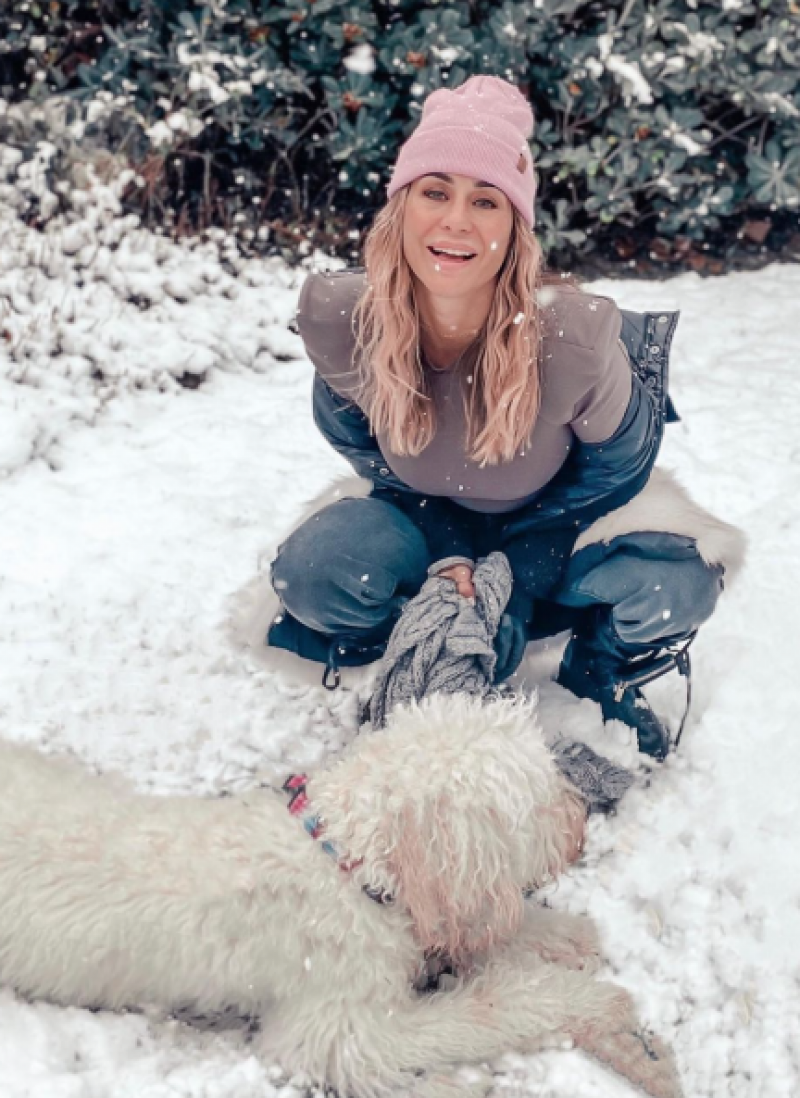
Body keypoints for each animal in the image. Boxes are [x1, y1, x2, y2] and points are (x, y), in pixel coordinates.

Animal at [0, 698, 680, 1093]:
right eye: (535, 799)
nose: (579, 819)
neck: (347, 863)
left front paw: (564, 936)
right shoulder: (338, 1031)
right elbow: (480, 1014)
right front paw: (590, 1001)